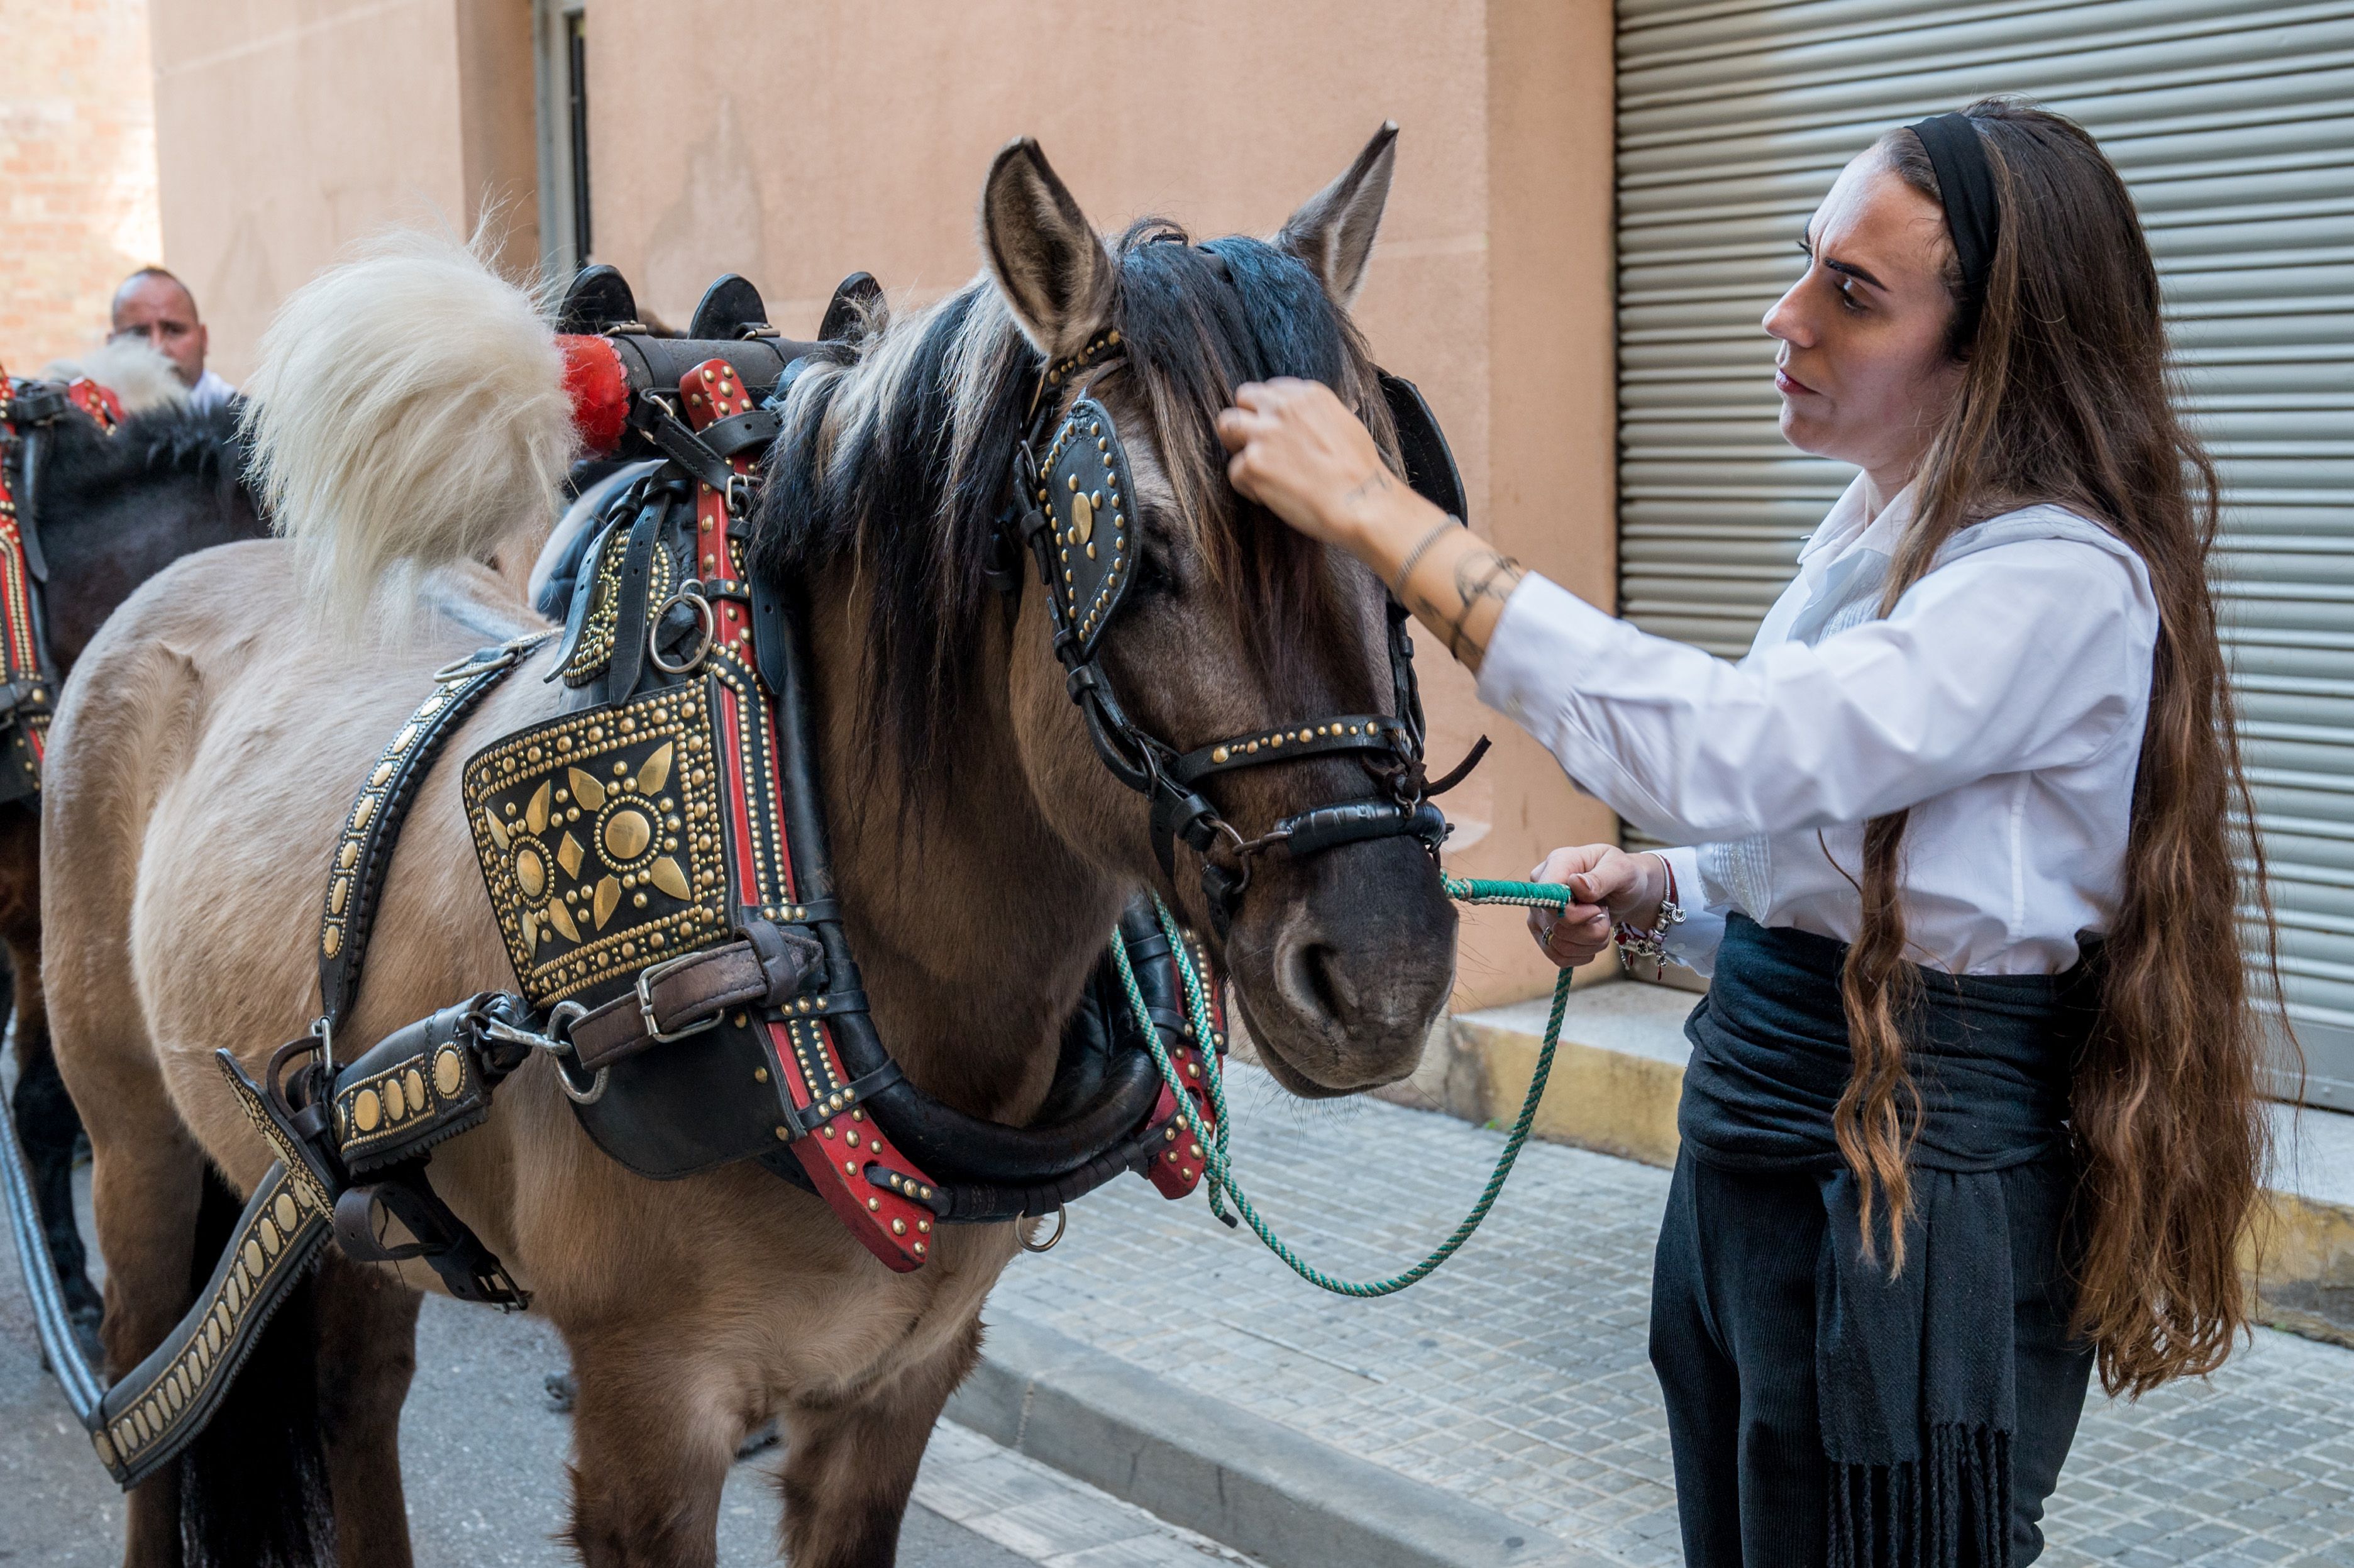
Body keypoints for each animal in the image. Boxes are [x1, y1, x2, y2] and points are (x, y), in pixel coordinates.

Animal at [46, 125, 1450, 1563]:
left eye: (1389, 512)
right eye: (1144, 551)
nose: (1385, 973)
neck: (801, 906)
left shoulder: (899, 1385)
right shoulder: (649, 1409)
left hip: (353, 1206)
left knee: (353, 1389)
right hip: (137, 1138)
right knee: (147, 1398)